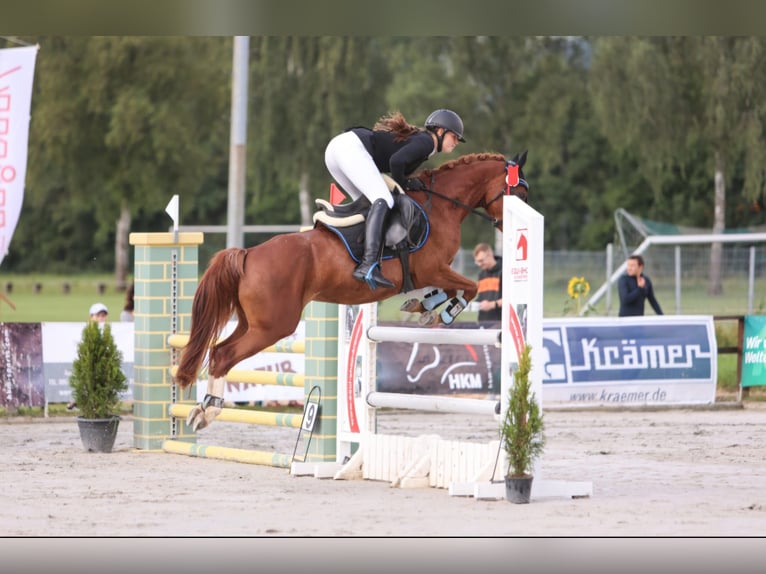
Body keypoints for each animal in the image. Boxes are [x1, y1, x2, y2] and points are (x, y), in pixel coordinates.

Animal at [177, 151, 532, 430]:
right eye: (518, 192)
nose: (508, 227)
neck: (441, 206)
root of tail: (248, 255)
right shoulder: (432, 268)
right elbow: (470, 287)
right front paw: (440, 314)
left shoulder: (431, 273)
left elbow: (447, 290)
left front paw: (423, 307)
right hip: (274, 326)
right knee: (224, 355)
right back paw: (208, 412)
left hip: (253, 323)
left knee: (218, 349)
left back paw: (201, 410)